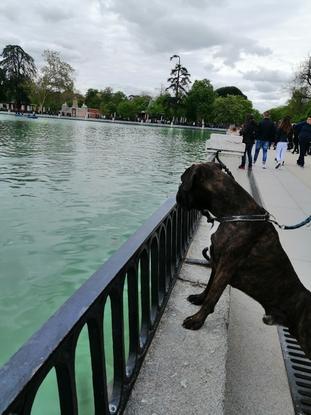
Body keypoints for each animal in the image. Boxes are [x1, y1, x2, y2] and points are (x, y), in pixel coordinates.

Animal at [177, 161, 311, 360]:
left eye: (182, 180)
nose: (177, 194)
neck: (234, 213)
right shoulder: (217, 263)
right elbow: (208, 287)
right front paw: (199, 298)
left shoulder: (226, 268)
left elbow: (213, 296)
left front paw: (196, 320)